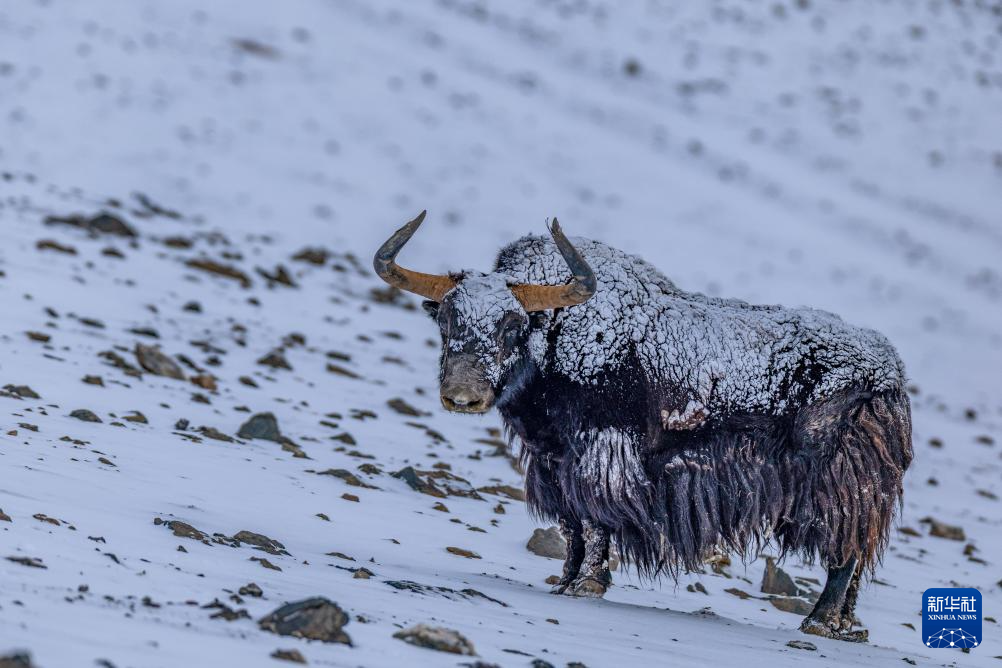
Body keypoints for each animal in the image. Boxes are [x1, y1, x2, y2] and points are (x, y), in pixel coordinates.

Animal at [373, 212, 913, 642]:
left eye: (511, 326)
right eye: (446, 319)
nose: (462, 396)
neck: (555, 338)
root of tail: (891, 373)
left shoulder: (602, 453)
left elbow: (594, 522)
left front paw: (586, 585)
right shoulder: (555, 464)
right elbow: (572, 525)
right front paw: (564, 581)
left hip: (841, 485)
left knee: (844, 553)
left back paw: (818, 622)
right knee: (858, 557)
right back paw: (847, 627)